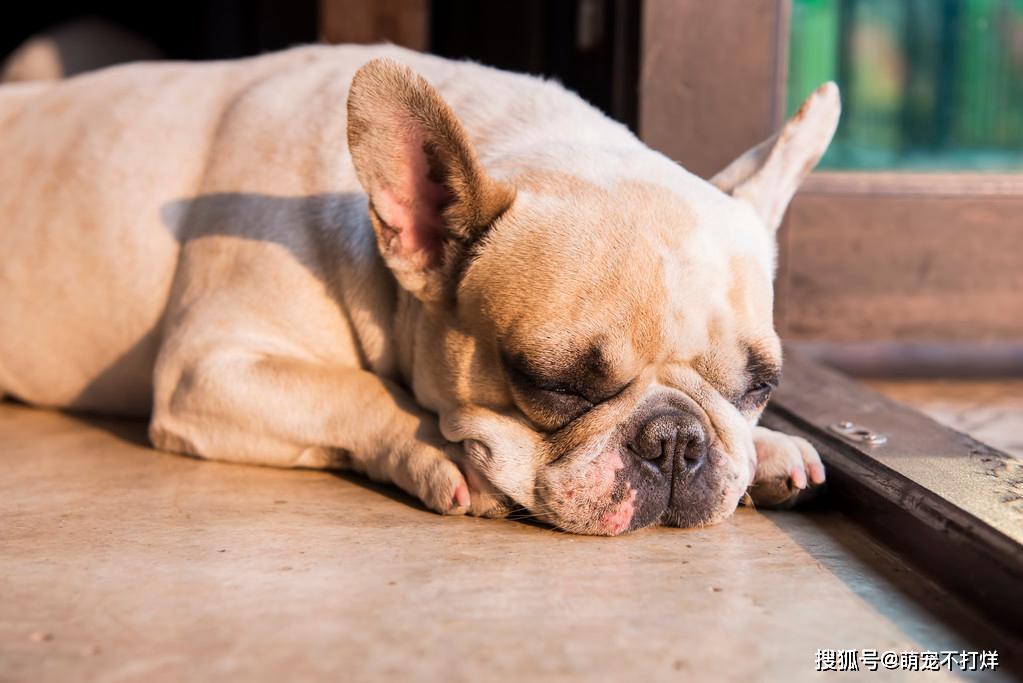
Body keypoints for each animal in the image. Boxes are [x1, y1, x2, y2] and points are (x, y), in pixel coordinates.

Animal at [0, 43, 838, 531]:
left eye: (759, 387)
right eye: (551, 383)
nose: (675, 442)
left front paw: (766, 449)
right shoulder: (208, 367)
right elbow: (357, 389)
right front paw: (439, 454)